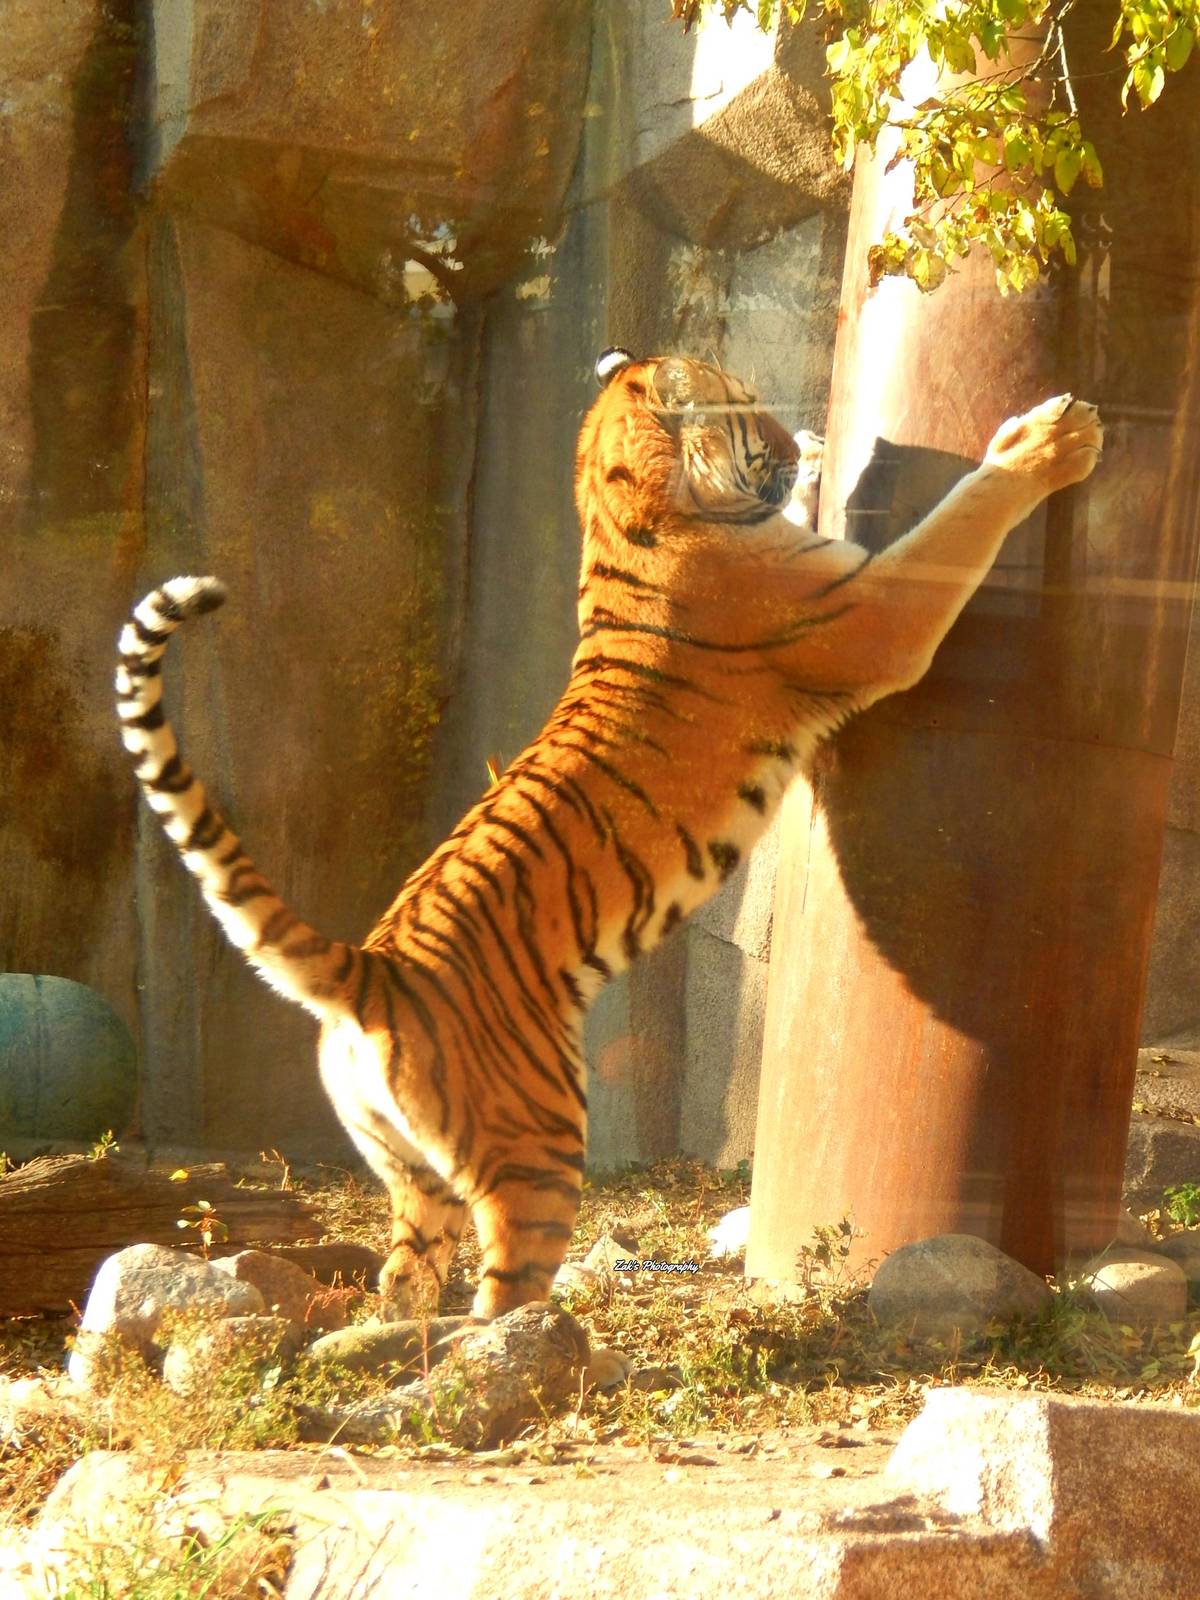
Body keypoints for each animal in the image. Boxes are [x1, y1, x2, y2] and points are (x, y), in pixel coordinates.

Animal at [115, 349, 1102, 1321]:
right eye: (749, 405)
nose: (802, 437)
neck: (622, 505)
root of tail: (375, 971)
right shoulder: (877, 609)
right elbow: (962, 516)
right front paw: (1050, 440)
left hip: (411, 1177)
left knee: (405, 1286)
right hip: (539, 1145)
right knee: (498, 1304)